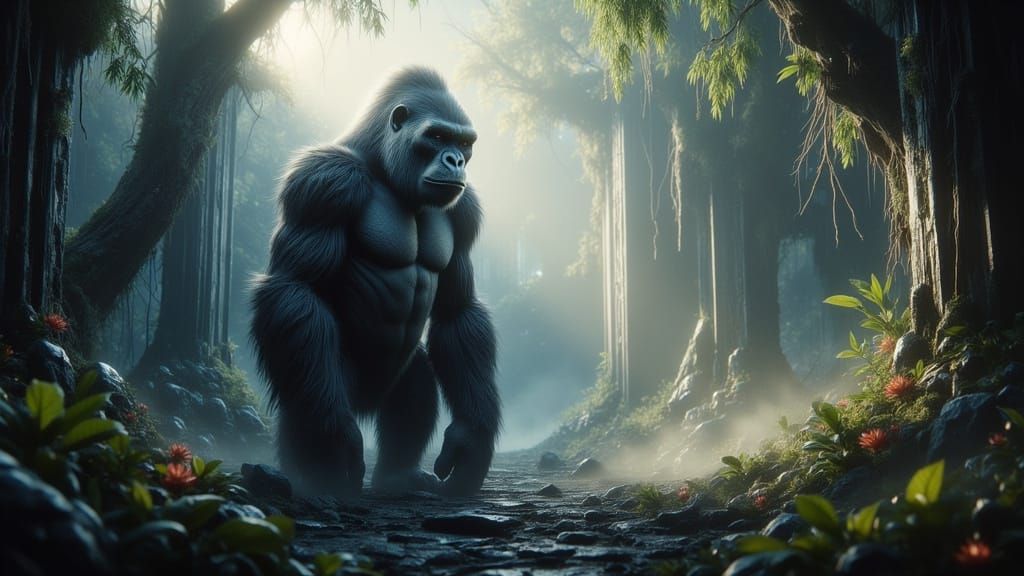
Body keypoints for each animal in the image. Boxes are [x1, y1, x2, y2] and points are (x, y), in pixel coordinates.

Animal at [250, 67, 499, 497]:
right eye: (436, 137)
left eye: (464, 143)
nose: (455, 160)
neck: (381, 163)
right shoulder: (324, 182)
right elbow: (297, 289)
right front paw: (332, 441)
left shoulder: (465, 209)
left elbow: (458, 311)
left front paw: (471, 440)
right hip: (331, 381)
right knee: (309, 386)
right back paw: (317, 475)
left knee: (416, 379)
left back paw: (396, 476)